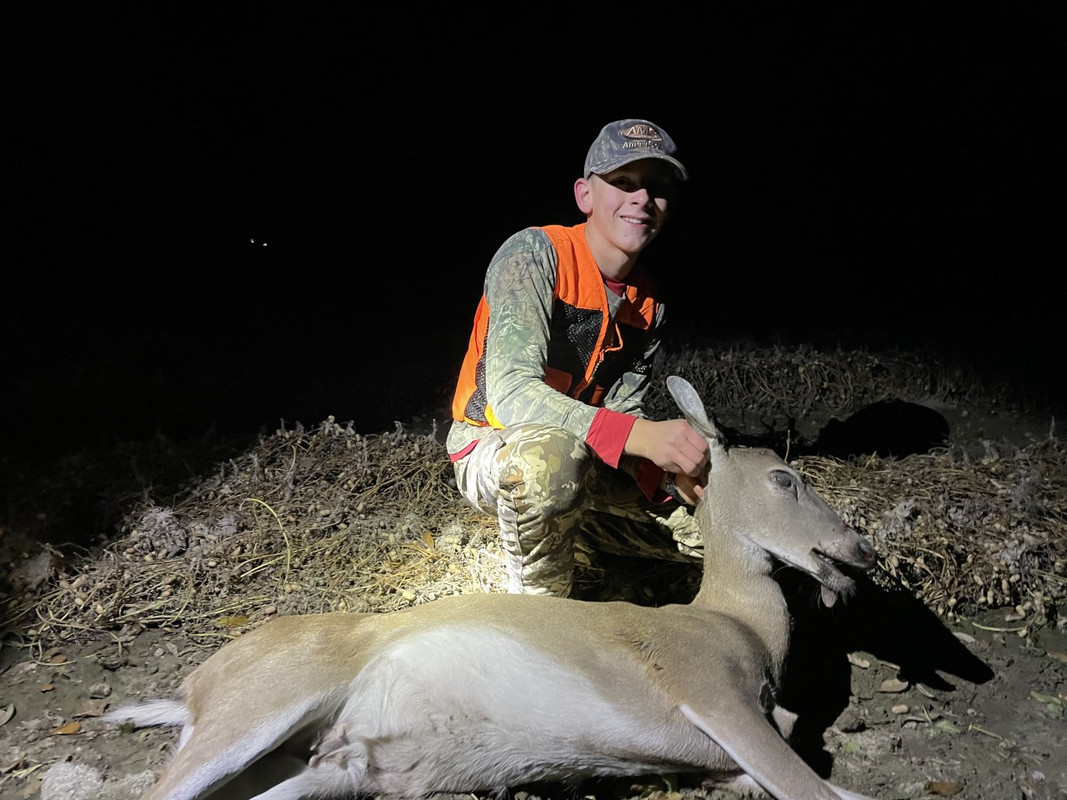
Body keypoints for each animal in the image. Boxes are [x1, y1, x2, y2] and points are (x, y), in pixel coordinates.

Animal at [104, 375, 879, 800]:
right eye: (785, 477)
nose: (860, 550)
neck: (737, 625)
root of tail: (192, 687)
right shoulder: (713, 695)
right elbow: (821, 790)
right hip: (257, 713)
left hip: (327, 769)